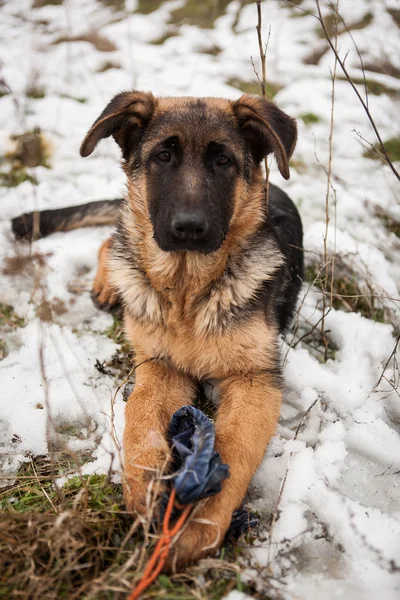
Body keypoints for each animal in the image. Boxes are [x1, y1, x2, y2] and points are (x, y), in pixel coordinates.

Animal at [11, 91, 304, 568]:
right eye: (162, 157)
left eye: (223, 161)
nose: (189, 228)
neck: (187, 292)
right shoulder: (159, 365)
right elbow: (141, 417)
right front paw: (146, 488)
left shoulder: (256, 379)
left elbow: (236, 448)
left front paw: (200, 520)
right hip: (133, 234)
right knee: (117, 239)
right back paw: (108, 283)